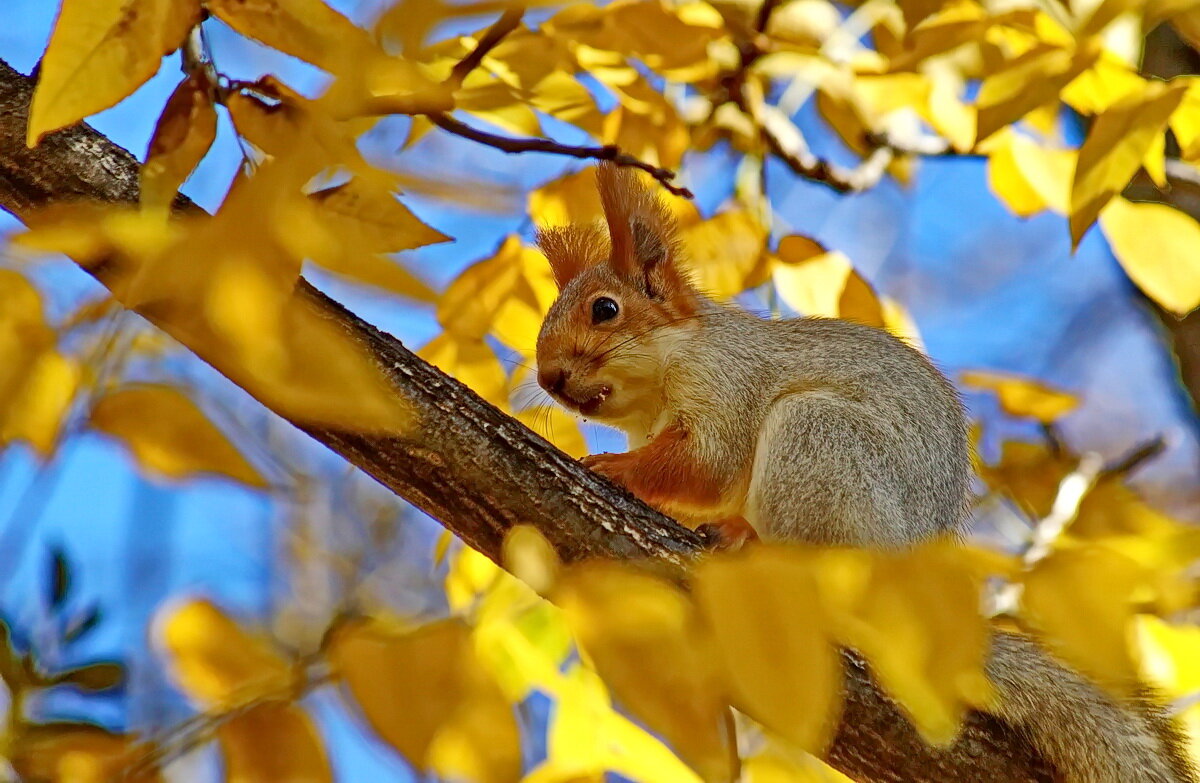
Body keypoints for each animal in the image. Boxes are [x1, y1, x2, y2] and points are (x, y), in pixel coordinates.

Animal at [537, 163, 1200, 783]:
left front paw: (616, 466)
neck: (663, 378)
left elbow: (706, 464)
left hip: (820, 444)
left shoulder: (727, 383)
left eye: (605, 310)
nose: (547, 378)